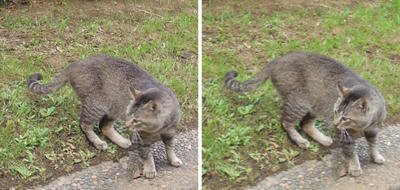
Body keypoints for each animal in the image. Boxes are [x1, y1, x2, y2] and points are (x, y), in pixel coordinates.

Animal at [28, 56, 183, 178]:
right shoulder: (141, 138)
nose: (127, 125)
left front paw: (173, 159)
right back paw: (98, 142)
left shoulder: (170, 132)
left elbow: (170, 147)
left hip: (111, 108)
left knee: (104, 126)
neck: (159, 128)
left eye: (135, 120)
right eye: (128, 115)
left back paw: (122, 141)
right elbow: (146, 154)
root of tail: (74, 64)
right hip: (95, 106)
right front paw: (150, 169)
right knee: (85, 124)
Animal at [223, 52, 386, 177]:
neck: (364, 125)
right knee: (286, 122)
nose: (334, 122)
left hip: (313, 106)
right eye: (335, 112)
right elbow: (351, 152)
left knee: (305, 124)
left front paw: (376, 156)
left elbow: (373, 144)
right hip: (298, 103)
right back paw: (300, 140)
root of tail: (277, 60)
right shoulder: (344, 135)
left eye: (345, 117)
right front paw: (355, 167)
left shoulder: (373, 129)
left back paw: (322, 139)